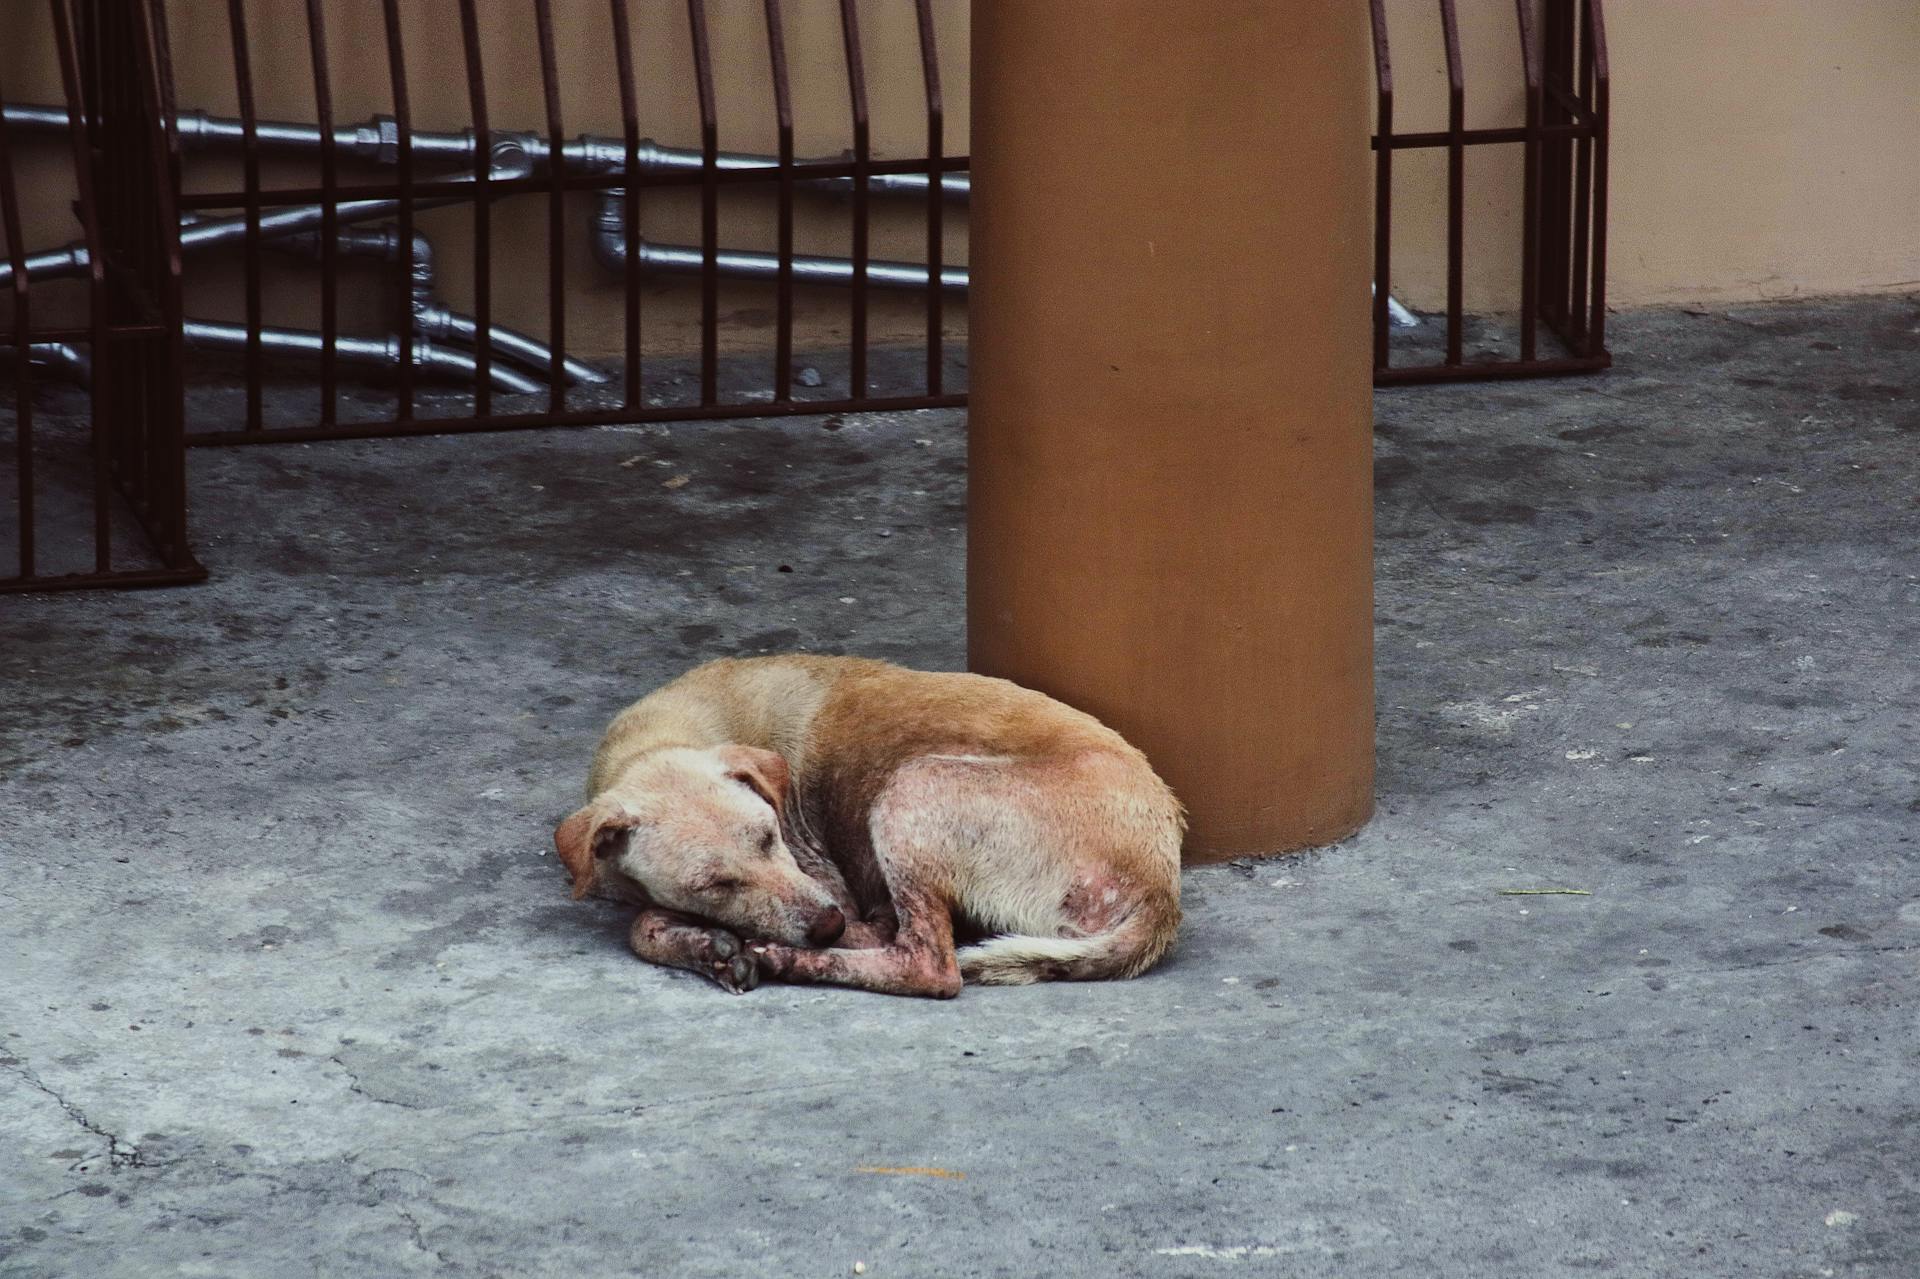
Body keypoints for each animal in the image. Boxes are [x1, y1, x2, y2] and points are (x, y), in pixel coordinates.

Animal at [552, 656, 1182, 998]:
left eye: (770, 836)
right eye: (715, 883)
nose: (827, 923)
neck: (659, 739)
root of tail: (1160, 887)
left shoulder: (822, 874)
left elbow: (642, 927)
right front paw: (707, 944)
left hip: (914, 787)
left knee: (926, 962)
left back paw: (800, 959)